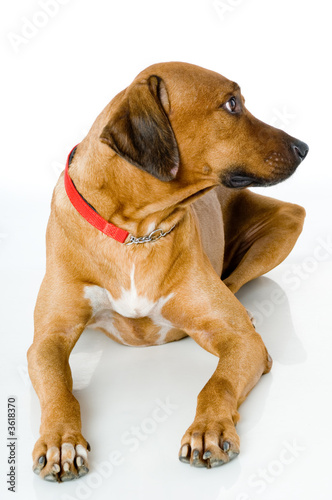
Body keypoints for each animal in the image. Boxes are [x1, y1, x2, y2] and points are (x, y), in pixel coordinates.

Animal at [27, 61, 308, 480]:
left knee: (236, 284)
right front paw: (61, 439)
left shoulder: (242, 343)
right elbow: (58, 386)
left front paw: (208, 429)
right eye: (232, 104)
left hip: (289, 219)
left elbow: (218, 381)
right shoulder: (47, 340)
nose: (304, 148)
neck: (135, 230)